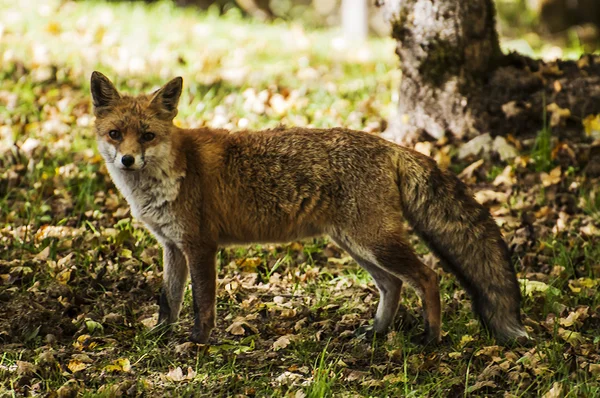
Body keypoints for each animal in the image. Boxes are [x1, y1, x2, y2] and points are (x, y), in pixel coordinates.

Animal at [90, 71, 528, 346]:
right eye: (115, 134)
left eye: (147, 136)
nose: (127, 160)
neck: (173, 171)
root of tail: (389, 145)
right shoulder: (171, 246)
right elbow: (169, 300)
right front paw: (161, 336)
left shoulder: (200, 246)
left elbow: (202, 303)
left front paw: (198, 343)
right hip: (355, 245)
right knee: (393, 285)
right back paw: (376, 332)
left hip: (374, 242)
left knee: (428, 276)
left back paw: (431, 339)